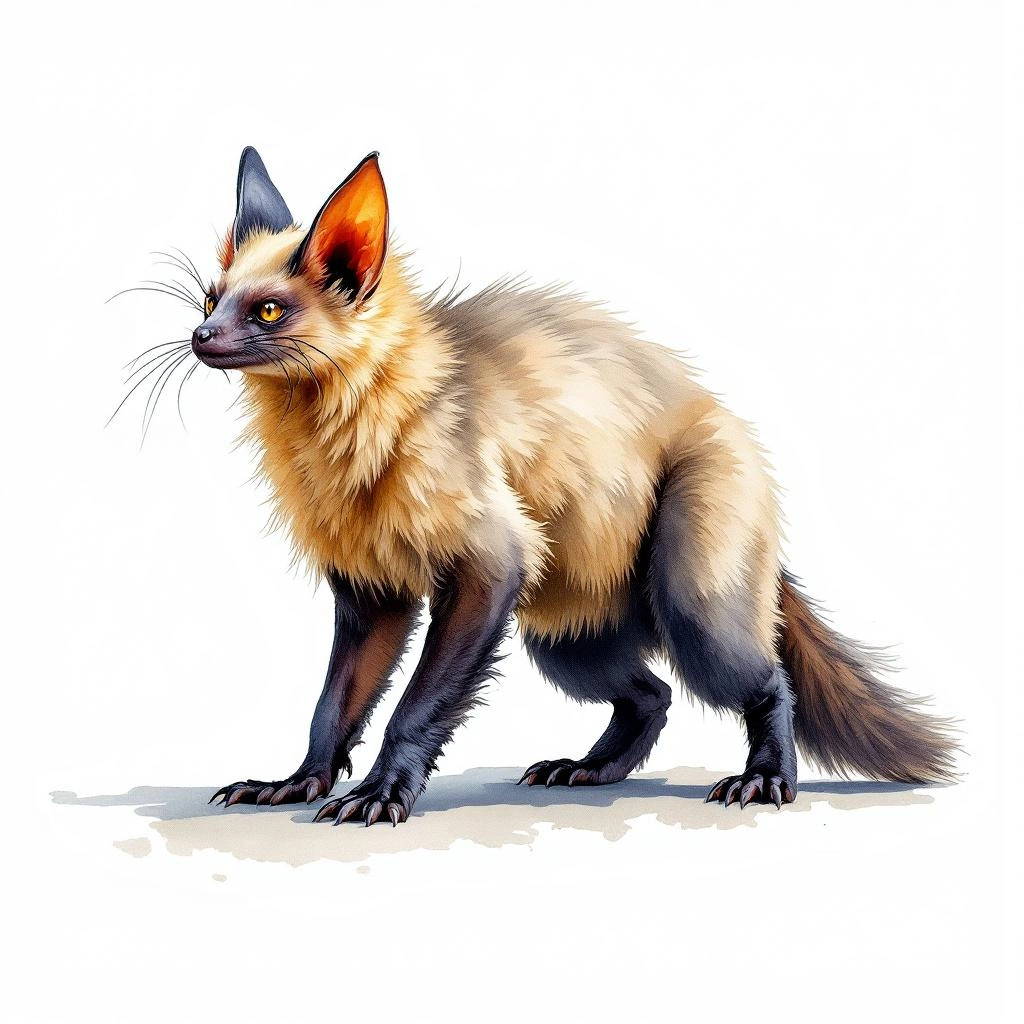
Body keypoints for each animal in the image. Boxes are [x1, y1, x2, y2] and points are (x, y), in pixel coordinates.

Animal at [137, 147, 957, 826]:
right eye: (209, 298)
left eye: (270, 309)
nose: (200, 339)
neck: (346, 449)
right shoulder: (374, 595)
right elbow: (334, 707)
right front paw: (293, 785)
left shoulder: (489, 565)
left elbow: (414, 708)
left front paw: (379, 795)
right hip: (564, 638)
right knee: (653, 695)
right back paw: (585, 770)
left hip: (690, 605)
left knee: (767, 680)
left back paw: (764, 781)